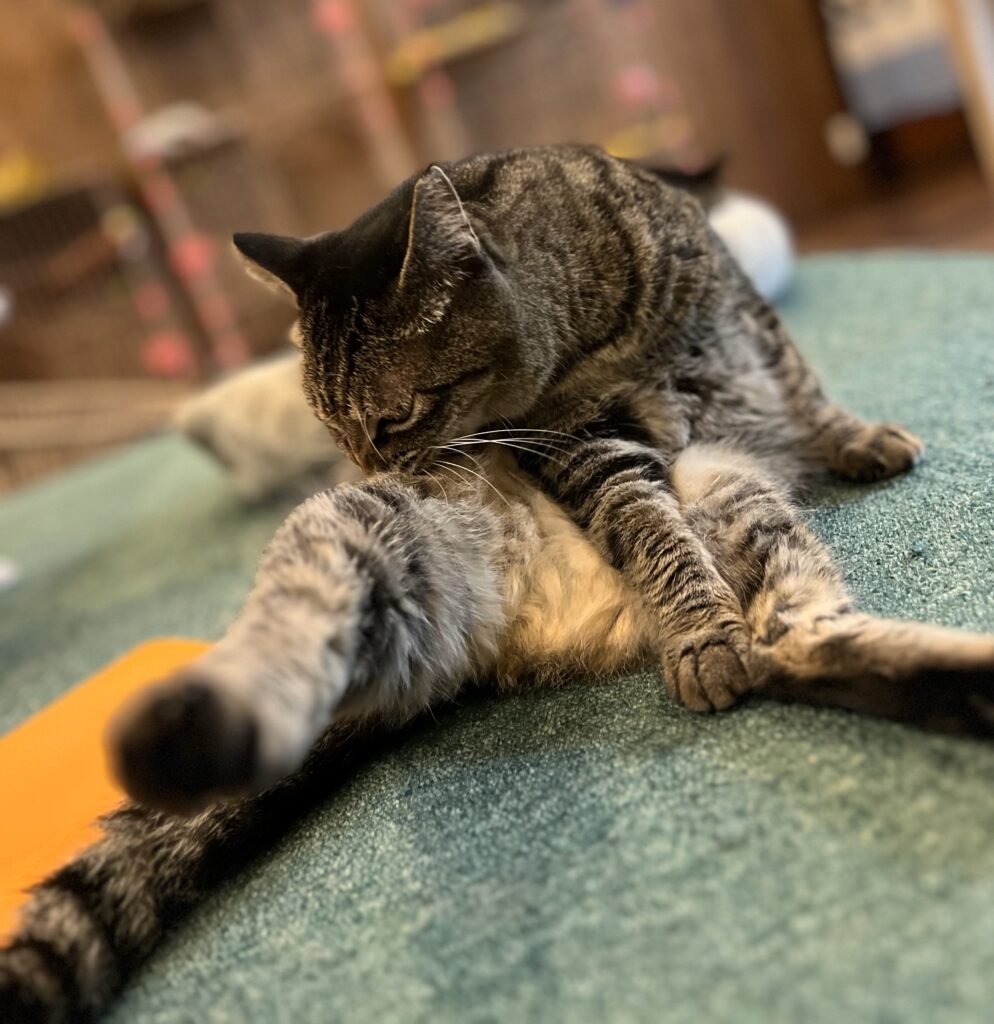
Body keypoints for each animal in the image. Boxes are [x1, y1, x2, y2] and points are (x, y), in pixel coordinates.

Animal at [3, 144, 993, 1023]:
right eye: (333, 426)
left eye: (393, 417)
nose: (370, 463)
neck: (599, 336)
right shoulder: (580, 447)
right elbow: (651, 530)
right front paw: (700, 626)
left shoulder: (732, 303)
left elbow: (801, 382)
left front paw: (850, 436)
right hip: (363, 543)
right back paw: (180, 731)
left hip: (731, 499)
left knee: (802, 642)